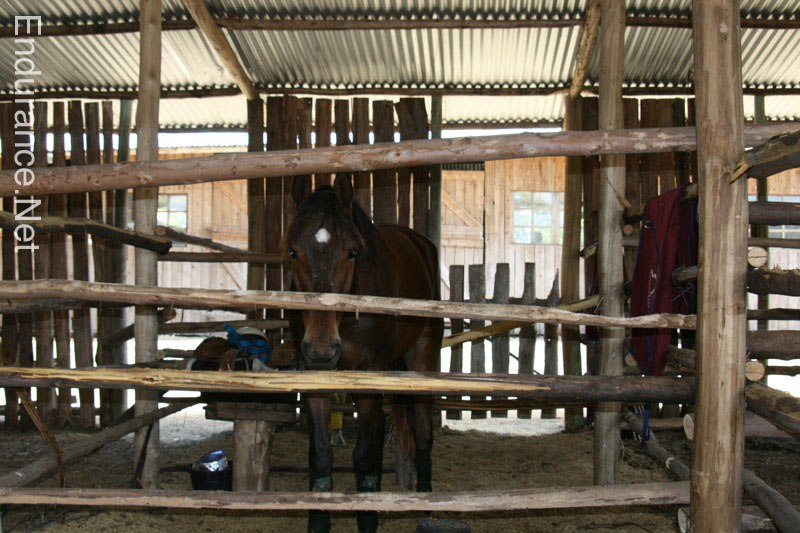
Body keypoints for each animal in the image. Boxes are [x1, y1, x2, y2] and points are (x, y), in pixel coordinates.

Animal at [284, 172, 444, 528]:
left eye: (352, 251)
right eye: (293, 252)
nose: (322, 348)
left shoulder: (371, 377)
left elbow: (366, 457)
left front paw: (367, 516)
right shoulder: (315, 377)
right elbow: (321, 456)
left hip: (423, 356)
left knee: (424, 432)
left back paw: (427, 502)